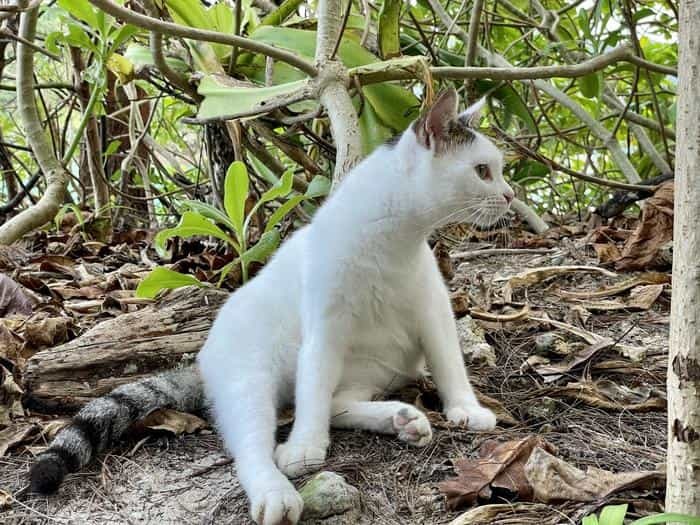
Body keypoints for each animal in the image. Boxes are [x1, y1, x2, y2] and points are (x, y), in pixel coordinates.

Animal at [197, 90, 516, 524]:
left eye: (497, 170)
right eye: (483, 171)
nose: (510, 195)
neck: (392, 240)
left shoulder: (433, 310)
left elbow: (449, 363)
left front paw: (464, 407)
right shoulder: (324, 330)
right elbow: (312, 391)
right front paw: (305, 445)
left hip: (373, 366)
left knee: (337, 403)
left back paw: (402, 420)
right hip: (249, 378)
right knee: (252, 445)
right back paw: (276, 493)